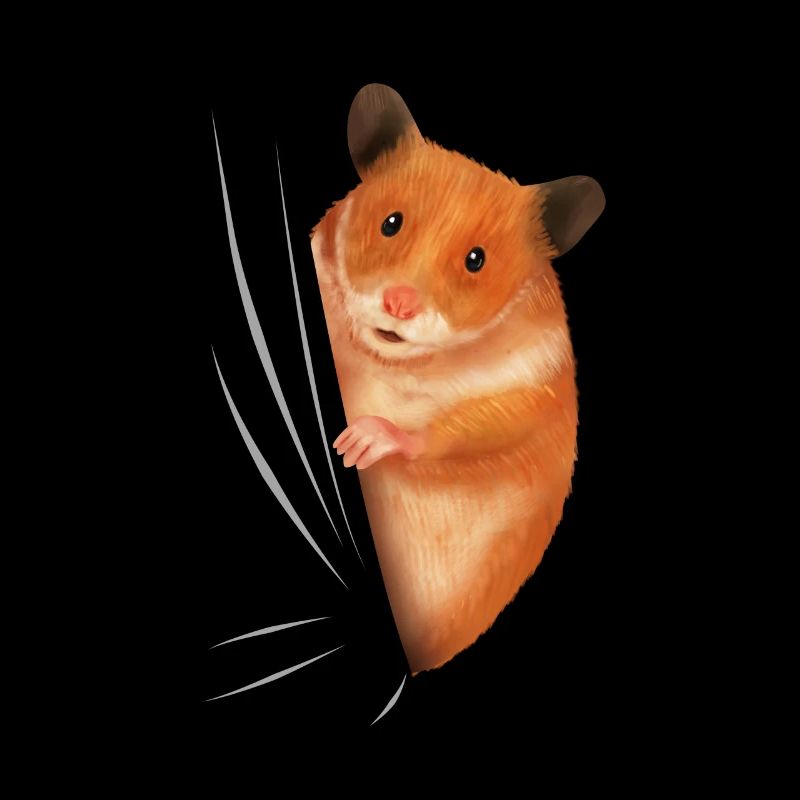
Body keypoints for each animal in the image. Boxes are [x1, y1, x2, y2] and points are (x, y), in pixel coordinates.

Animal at [312, 84, 605, 673]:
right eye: (391, 222)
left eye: (476, 259)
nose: (399, 305)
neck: (399, 362)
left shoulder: (535, 389)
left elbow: (464, 427)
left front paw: (356, 444)